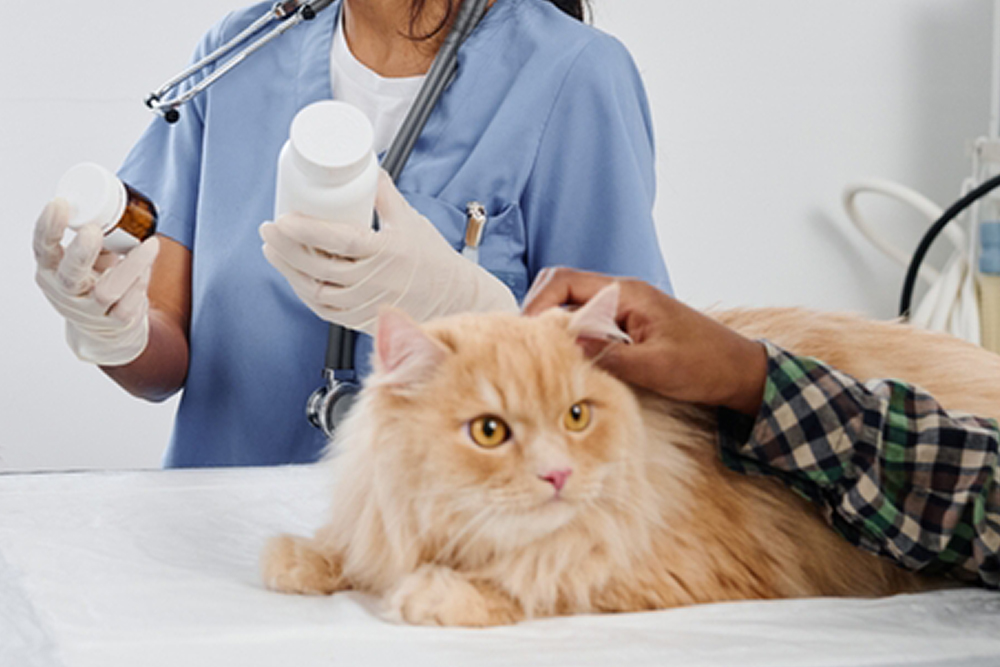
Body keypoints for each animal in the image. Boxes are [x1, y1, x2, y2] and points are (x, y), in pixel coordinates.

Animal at [258, 288, 992, 628]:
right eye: (489, 431)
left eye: (576, 417)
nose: (558, 473)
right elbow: (350, 548)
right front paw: (305, 559)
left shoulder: (659, 569)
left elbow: (539, 577)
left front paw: (437, 594)